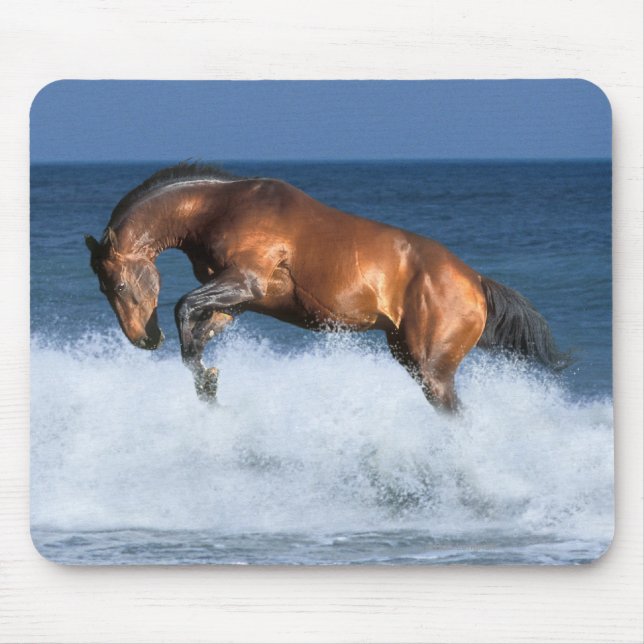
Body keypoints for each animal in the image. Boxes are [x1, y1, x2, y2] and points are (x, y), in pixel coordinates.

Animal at [85, 162, 570, 413]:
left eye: (120, 284)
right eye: (103, 290)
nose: (143, 340)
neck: (221, 207)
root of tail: (475, 281)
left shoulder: (243, 282)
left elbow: (182, 308)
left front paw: (206, 378)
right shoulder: (237, 302)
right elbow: (197, 333)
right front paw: (208, 384)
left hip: (432, 370)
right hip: (408, 356)